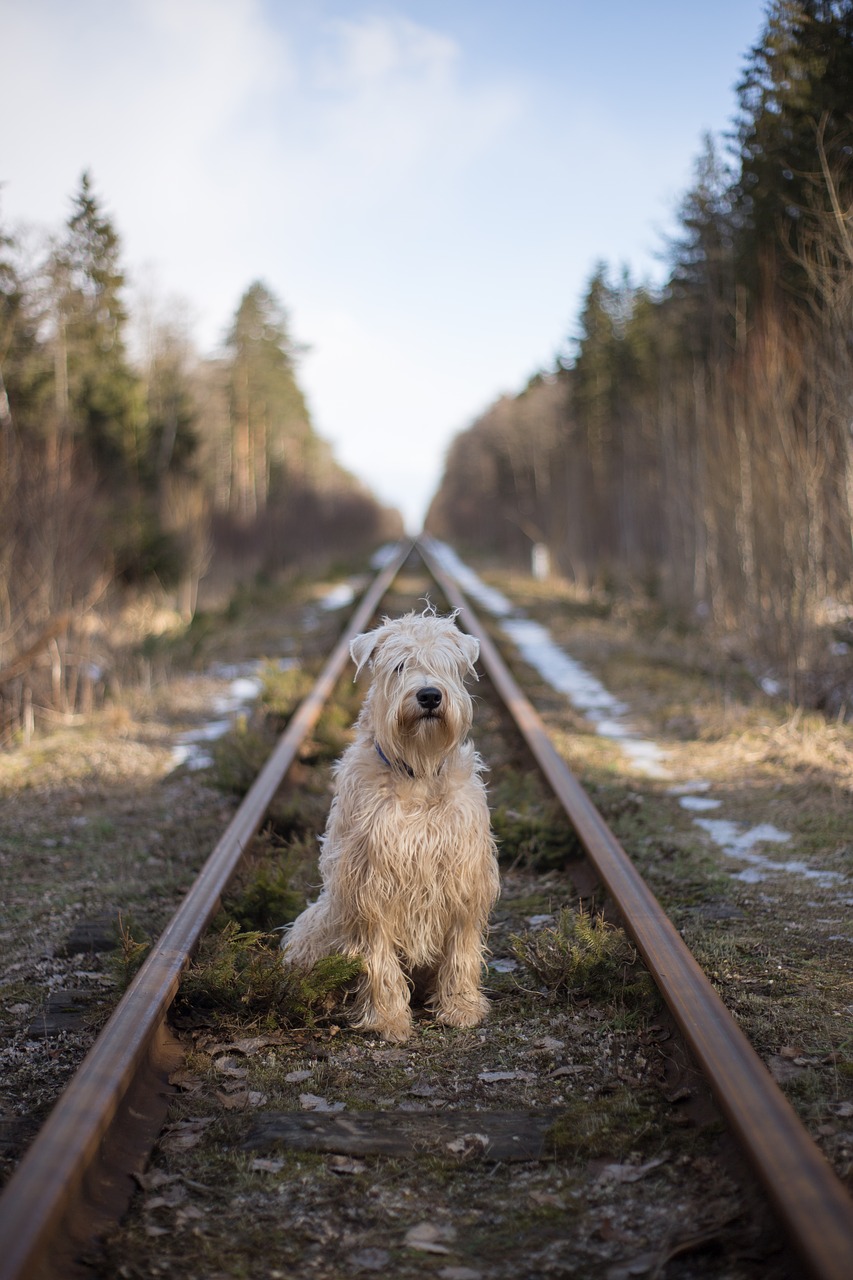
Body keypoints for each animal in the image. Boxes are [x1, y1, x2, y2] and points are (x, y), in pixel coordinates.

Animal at [281, 606, 499, 1039]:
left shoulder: (464, 878)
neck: (418, 771)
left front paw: (461, 1007)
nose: (429, 695)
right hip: (319, 921)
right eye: (399, 665)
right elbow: (378, 959)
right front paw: (387, 1019)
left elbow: (461, 950)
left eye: (446, 664)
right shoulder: (370, 884)